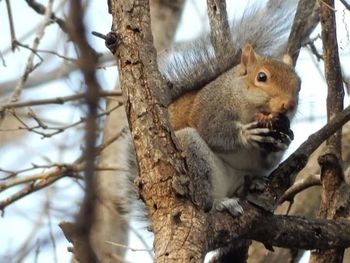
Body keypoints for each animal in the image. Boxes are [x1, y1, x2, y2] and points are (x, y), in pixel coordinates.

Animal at [91, 0, 302, 262]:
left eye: (299, 84)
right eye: (261, 77)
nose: (288, 105)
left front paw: (284, 141)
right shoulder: (209, 107)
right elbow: (212, 130)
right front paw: (246, 135)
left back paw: (252, 185)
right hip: (192, 153)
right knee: (204, 200)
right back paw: (221, 203)